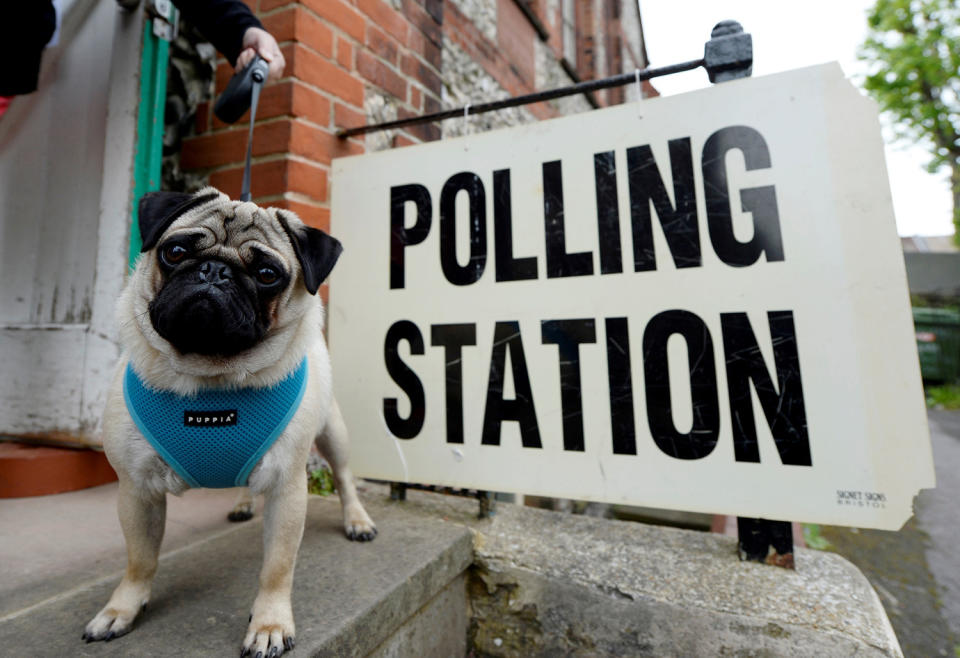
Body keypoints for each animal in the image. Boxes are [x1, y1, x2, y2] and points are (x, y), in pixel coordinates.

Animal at [83, 187, 376, 652]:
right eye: (175, 251)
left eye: (267, 274)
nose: (214, 271)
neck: (209, 382)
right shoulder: (136, 489)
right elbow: (139, 559)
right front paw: (121, 610)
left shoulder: (287, 489)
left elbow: (277, 567)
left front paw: (270, 625)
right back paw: (241, 504)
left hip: (334, 433)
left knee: (345, 478)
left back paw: (358, 521)